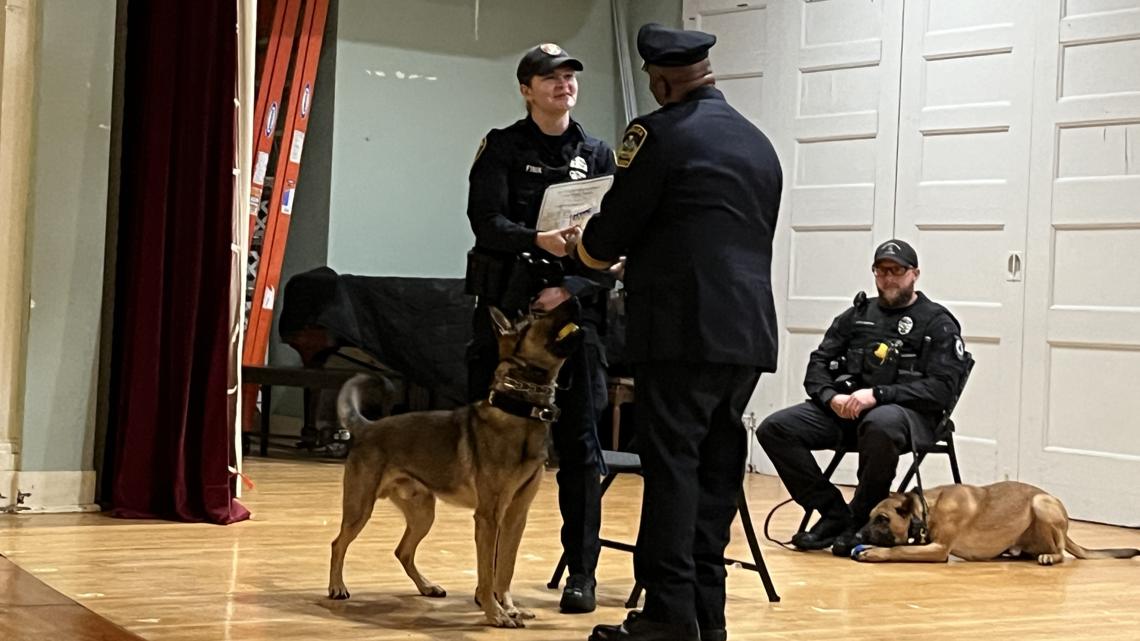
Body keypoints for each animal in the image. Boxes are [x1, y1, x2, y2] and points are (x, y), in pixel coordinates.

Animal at [326, 298, 583, 625]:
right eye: (539, 316)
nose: (575, 299)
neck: (520, 412)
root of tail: (368, 427)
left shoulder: (516, 517)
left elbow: (505, 568)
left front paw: (510, 608)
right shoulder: (488, 518)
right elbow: (487, 573)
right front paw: (495, 613)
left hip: (423, 514)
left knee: (403, 551)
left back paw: (427, 586)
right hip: (360, 509)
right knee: (339, 543)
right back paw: (337, 587)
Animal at [857, 479, 1140, 563]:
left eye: (882, 519)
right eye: (869, 517)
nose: (858, 537)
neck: (927, 510)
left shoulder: (939, 550)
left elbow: (899, 549)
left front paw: (875, 552)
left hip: (1041, 504)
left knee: (1059, 551)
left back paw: (1051, 557)